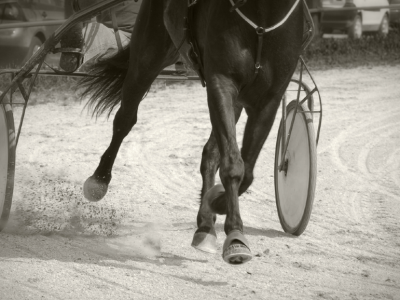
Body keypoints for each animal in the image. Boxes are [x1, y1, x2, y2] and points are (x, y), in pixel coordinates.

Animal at [77, 0, 304, 264]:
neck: (263, 18)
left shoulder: (268, 99)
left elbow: (245, 171)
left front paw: (216, 204)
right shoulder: (220, 82)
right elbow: (233, 166)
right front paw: (235, 234)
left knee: (211, 153)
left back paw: (205, 225)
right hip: (148, 55)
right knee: (124, 119)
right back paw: (99, 180)